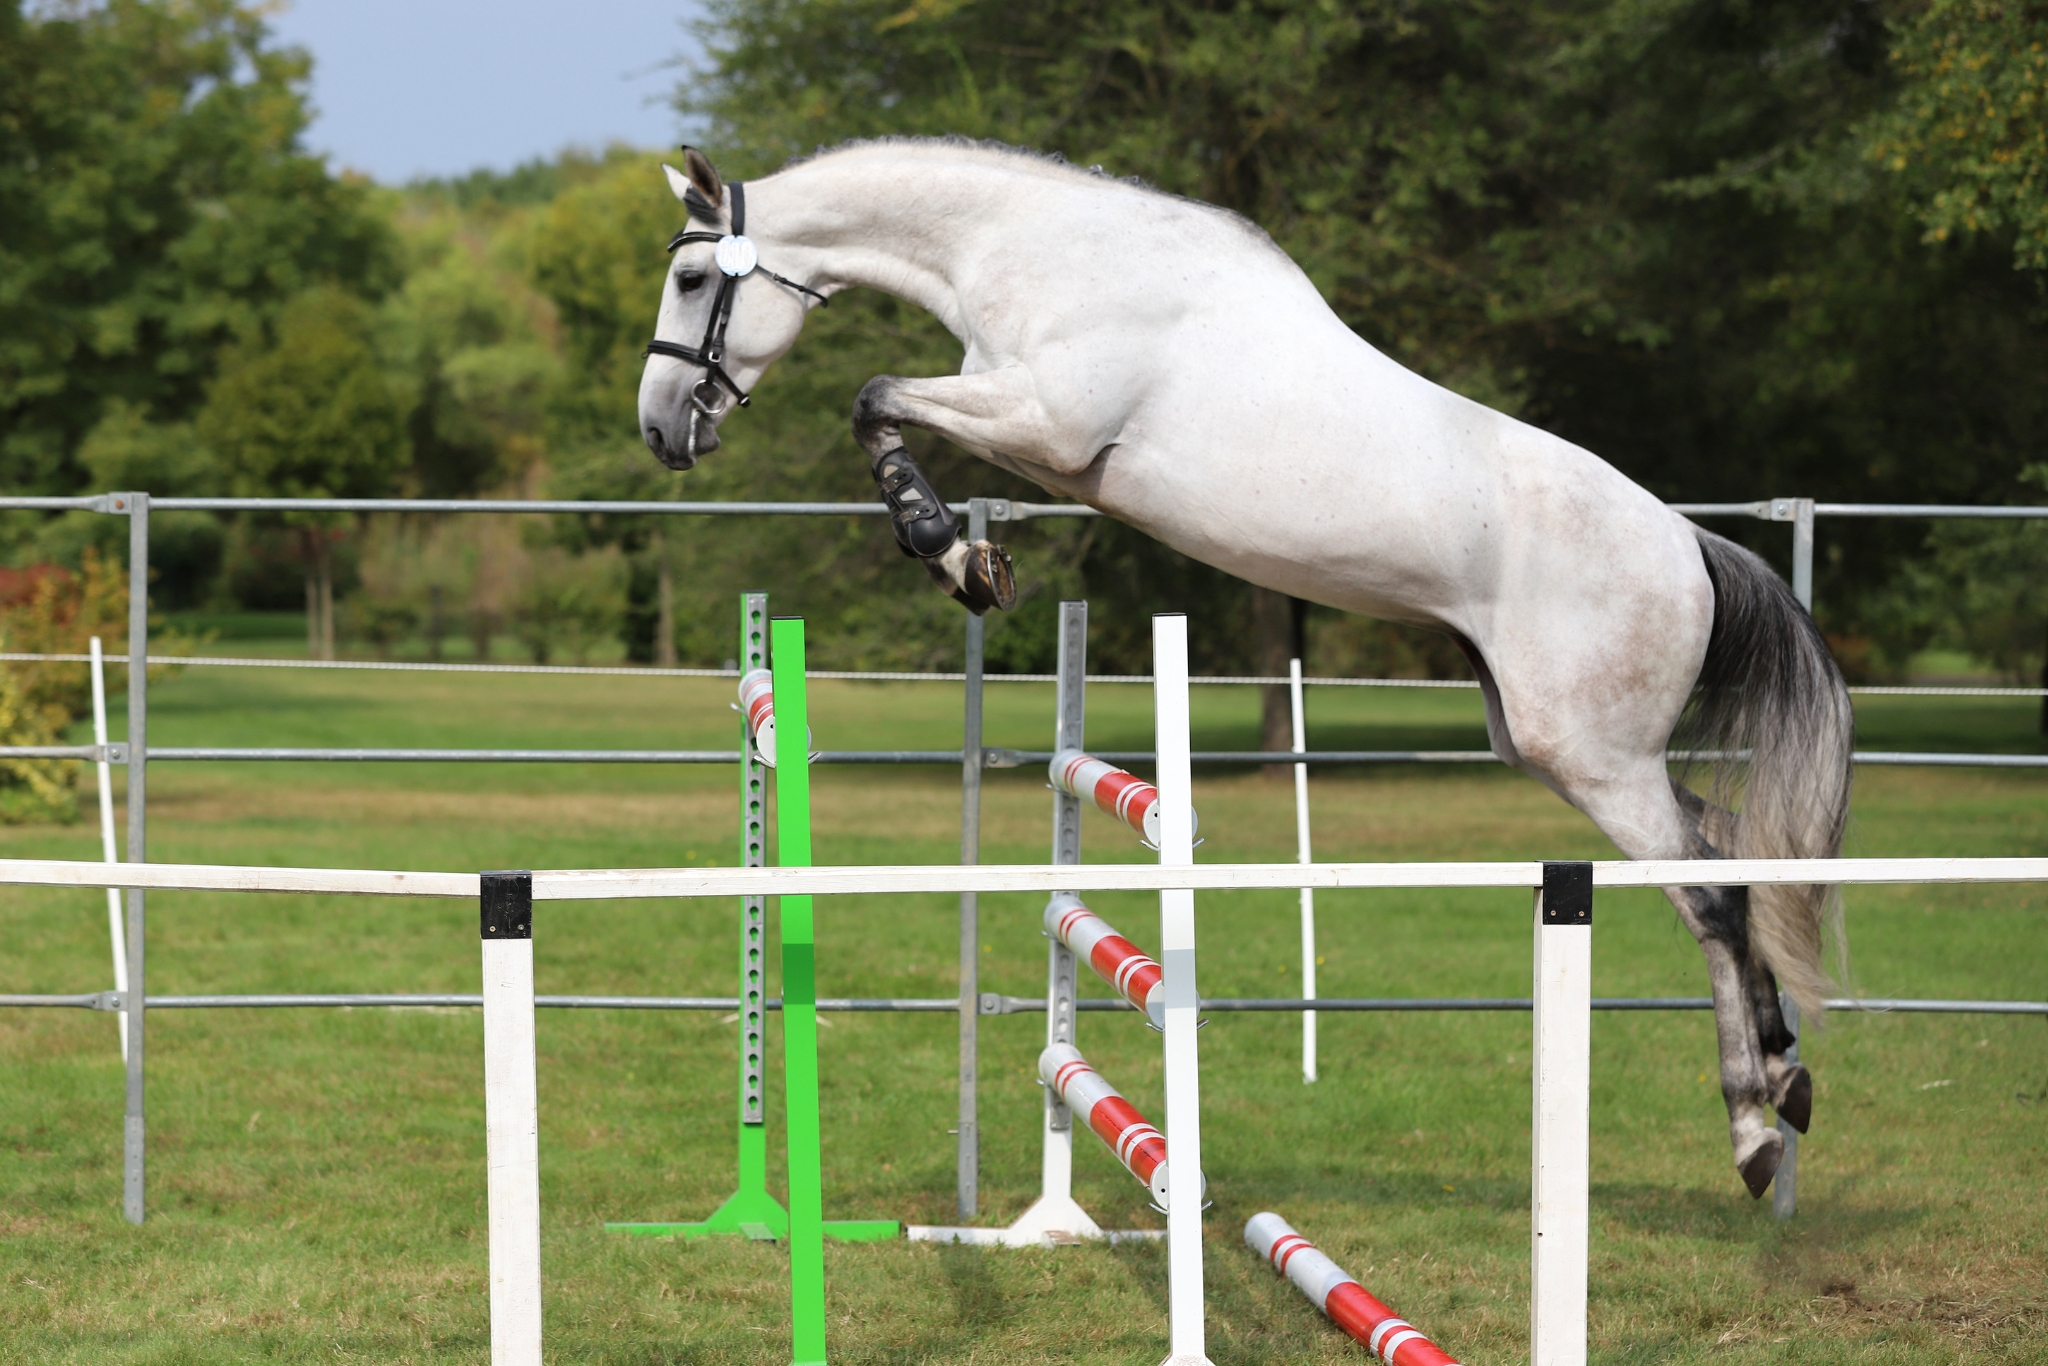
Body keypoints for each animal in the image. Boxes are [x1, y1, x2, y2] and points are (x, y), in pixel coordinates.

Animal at [636, 139, 1853, 1199]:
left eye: (694, 278)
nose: (659, 431)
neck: (1037, 246)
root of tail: (1688, 545)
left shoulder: (1046, 422)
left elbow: (876, 394)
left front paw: (948, 550)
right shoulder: (1032, 434)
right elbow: (882, 408)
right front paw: (967, 559)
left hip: (1595, 758)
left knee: (1708, 894)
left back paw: (1752, 1126)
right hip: (1559, 747)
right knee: (1728, 854)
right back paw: (1786, 1070)